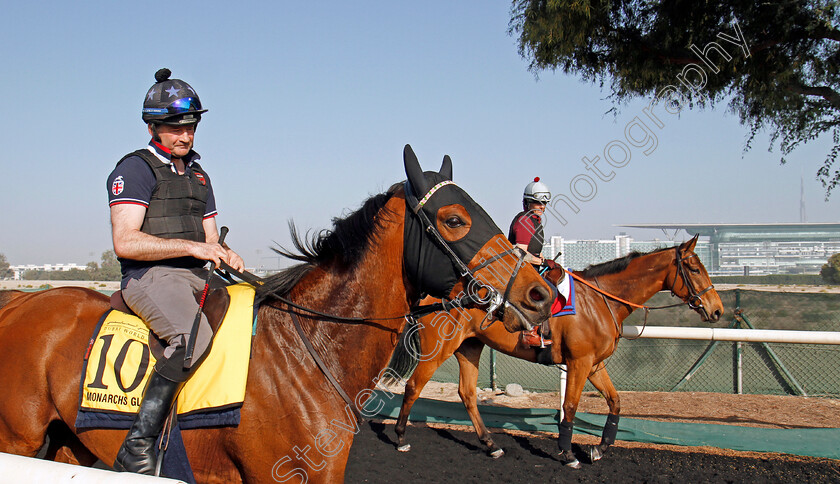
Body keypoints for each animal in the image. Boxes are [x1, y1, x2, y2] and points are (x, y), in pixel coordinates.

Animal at [0, 145, 556, 484]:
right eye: (456, 219)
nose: (539, 292)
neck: (308, 352)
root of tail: (21, 300)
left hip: (70, 440)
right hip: (19, 440)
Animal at [388, 236, 720, 466]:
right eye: (694, 268)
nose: (717, 310)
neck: (600, 301)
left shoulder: (595, 365)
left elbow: (615, 402)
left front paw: (599, 448)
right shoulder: (579, 363)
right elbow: (570, 407)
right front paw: (567, 452)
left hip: (469, 347)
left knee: (467, 394)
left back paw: (491, 444)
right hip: (439, 349)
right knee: (414, 386)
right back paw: (401, 436)